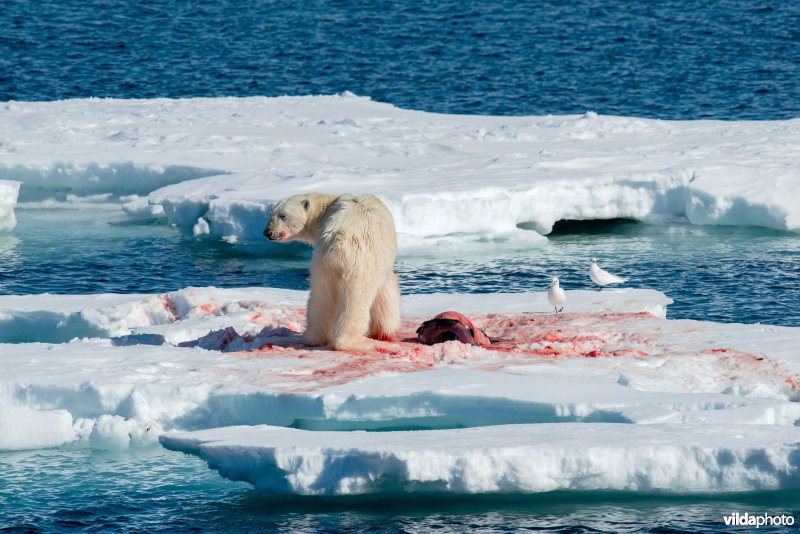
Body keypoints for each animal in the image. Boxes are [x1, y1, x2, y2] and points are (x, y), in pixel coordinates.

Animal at [262, 193, 400, 352]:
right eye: (271, 214)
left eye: (283, 215)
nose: (267, 232)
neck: (326, 208)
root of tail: (338, 241)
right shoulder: (380, 264)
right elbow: (386, 294)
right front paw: (384, 331)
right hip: (359, 265)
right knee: (356, 299)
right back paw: (353, 343)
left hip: (321, 265)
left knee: (320, 298)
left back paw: (314, 338)